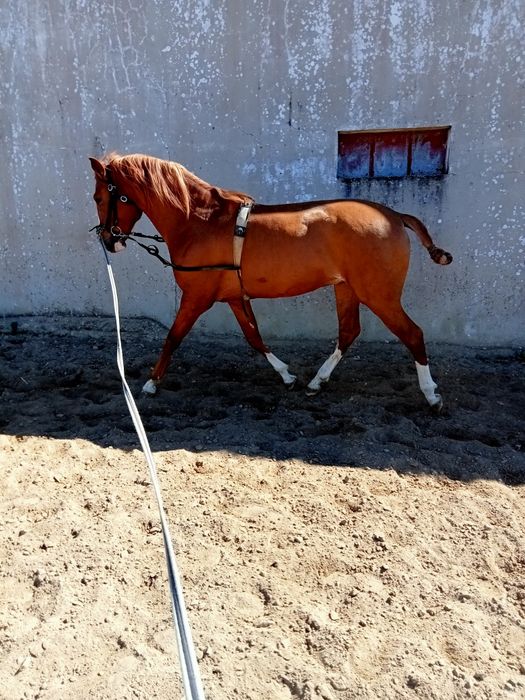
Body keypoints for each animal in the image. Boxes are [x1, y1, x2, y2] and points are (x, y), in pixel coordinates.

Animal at [90, 153, 452, 410]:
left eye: (98, 197)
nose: (108, 240)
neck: (198, 221)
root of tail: (394, 215)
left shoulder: (196, 297)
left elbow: (173, 338)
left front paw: (151, 383)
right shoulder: (235, 298)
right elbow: (255, 338)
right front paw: (288, 376)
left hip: (378, 294)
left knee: (412, 335)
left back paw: (432, 396)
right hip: (346, 289)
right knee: (349, 333)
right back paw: (316, 383)